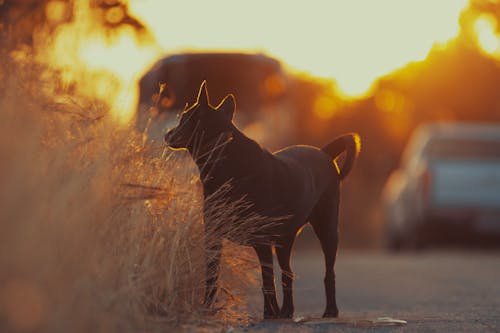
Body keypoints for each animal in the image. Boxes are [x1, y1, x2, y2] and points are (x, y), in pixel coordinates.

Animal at [164, 81, 360, 320]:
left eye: (185, 118)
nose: (167, 133)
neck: (223, 155)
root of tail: (325, 153)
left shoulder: (262, 241)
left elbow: (267, 280)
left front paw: (269, 313)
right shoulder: (212, 236)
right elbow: (211, 275)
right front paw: (207, 308)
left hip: (327, 229)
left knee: (328, 271)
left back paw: (329, 310)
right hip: (285, 240)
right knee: (288, 273)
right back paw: (286, 311)